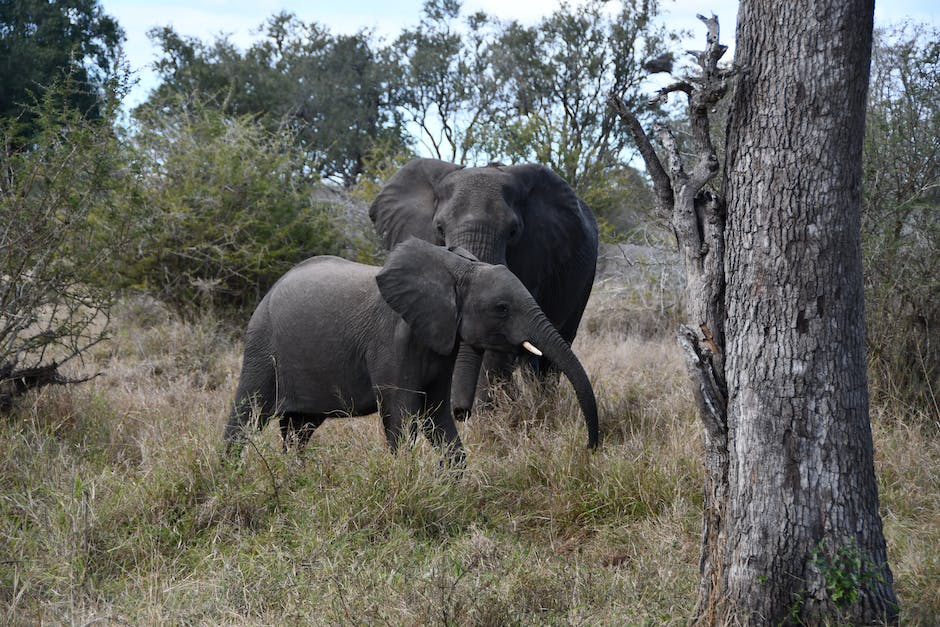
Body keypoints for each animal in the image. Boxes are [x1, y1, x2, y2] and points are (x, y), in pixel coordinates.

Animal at [224, 238, 600, 464]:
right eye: (502, 308)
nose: (590, 449)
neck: (454, 268)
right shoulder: (392, 340)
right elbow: (401, 413)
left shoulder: (441, 340)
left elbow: (437, 413)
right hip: (262, 345)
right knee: (247, 413)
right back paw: (231, 476)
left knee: (299, 428)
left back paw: (293, 475)